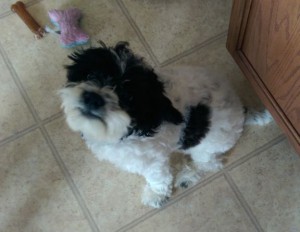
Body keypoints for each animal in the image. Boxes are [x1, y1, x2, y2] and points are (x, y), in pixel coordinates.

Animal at [59, 40, 272, 208]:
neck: (132, 129)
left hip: (207, 145)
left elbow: (158, 178)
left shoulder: (152, 161)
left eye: (128, 98)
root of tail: (242, 110)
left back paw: (188, 177)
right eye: (92, 75)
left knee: (209, 164)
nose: (94, 98)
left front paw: (156, 195)